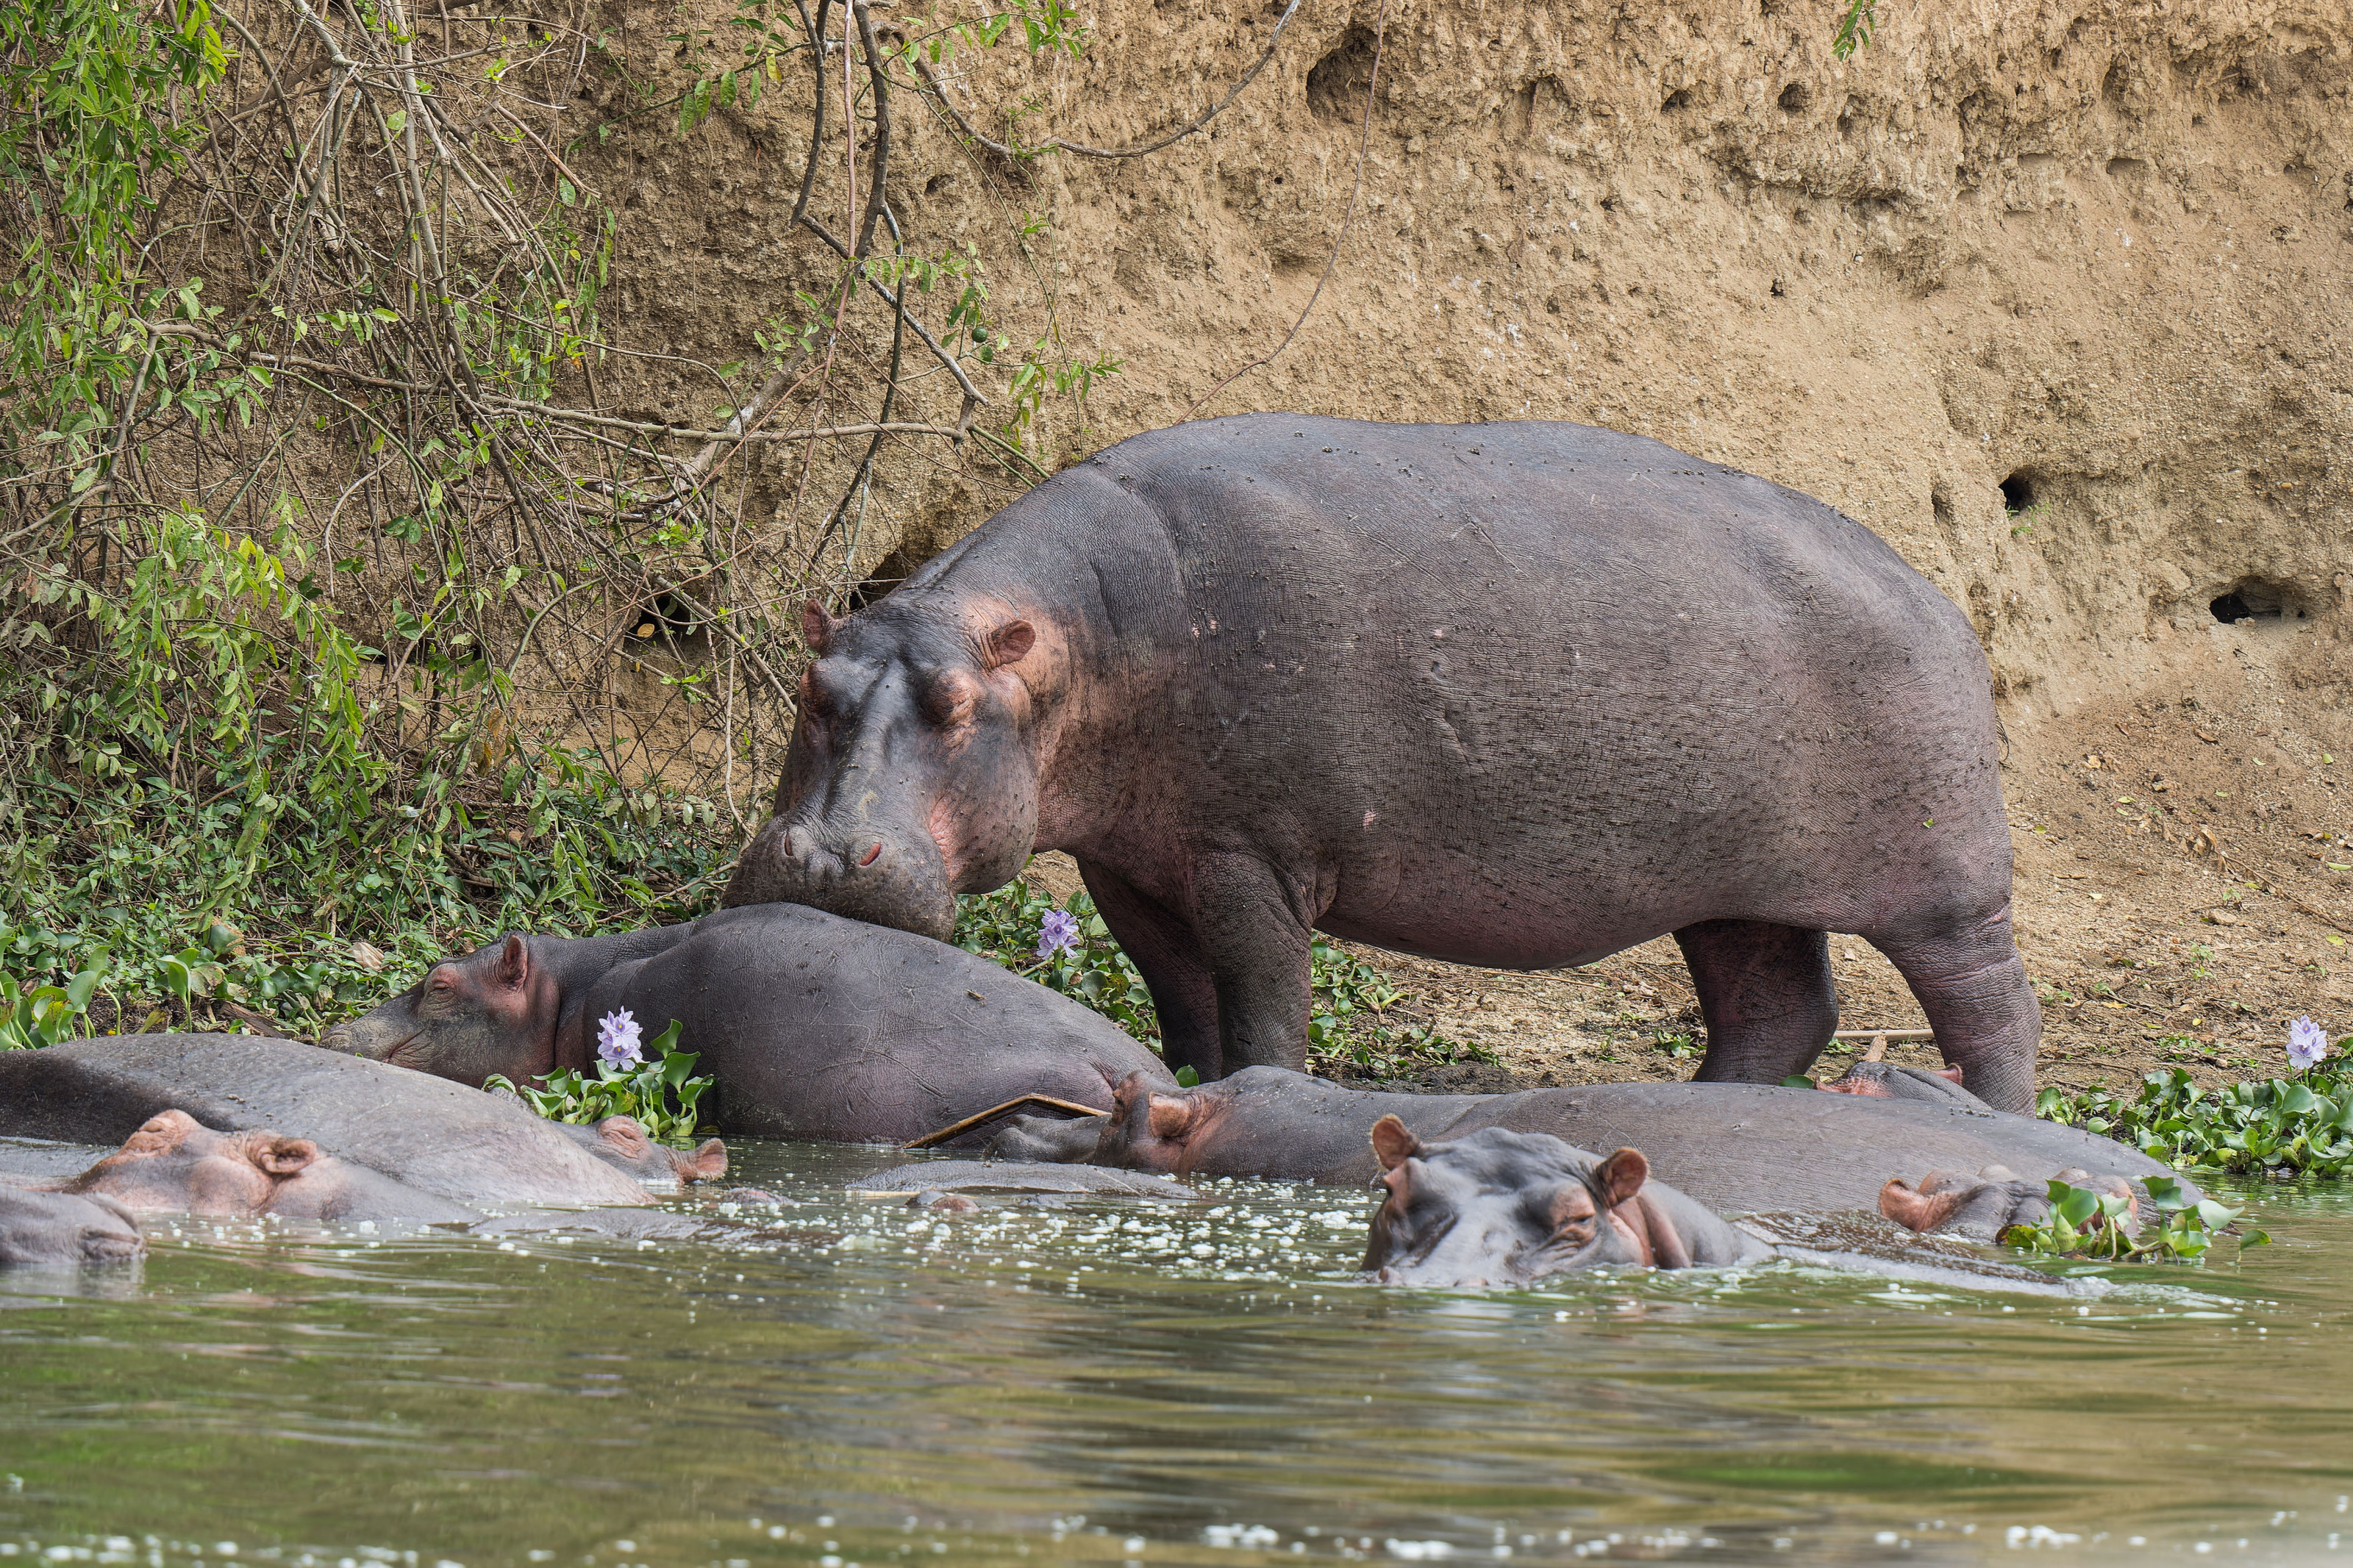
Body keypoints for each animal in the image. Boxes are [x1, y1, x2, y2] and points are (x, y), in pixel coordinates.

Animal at [721, 415, 2040, 1110]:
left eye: (952, 706)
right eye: (813, 689)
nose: (824, 855)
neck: (1075, 647)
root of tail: (1936, 594)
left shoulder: (1250, 852)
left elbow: (1263, 996)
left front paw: (1262, 1086)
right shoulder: (1130, 864)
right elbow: (1181, 996)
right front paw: (1189, 1080)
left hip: (1946, 891)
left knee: (1991, 1004)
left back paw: (1996, 1116)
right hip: (1732, 890)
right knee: (1779, 1006)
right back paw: (1708, 1106)